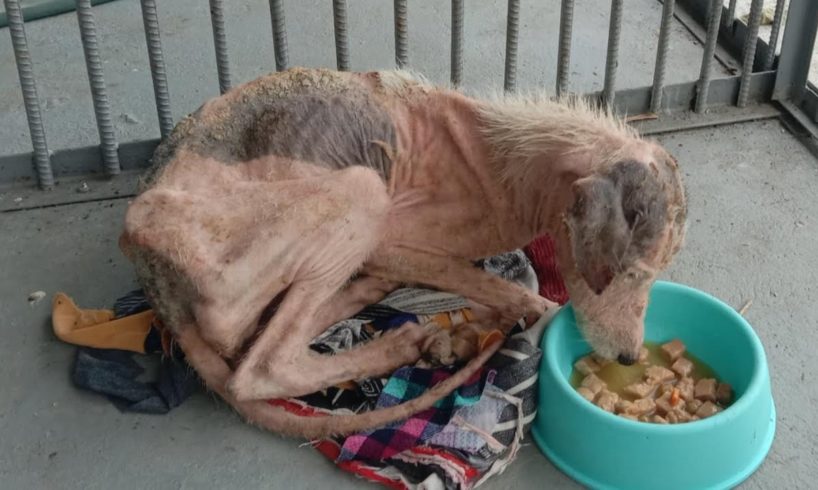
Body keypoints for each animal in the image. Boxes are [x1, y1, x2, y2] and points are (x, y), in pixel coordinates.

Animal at [118, 67, 684, 438]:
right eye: (629, 273)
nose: (630, 357)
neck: (511, 164)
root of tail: (155, 284)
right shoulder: (391, 243)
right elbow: (523, 297)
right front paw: (514, 315)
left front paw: (471, 328)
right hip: (360, 194)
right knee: (258, 364)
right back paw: (398, 345)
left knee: (262, 335)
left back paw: (391, 312)